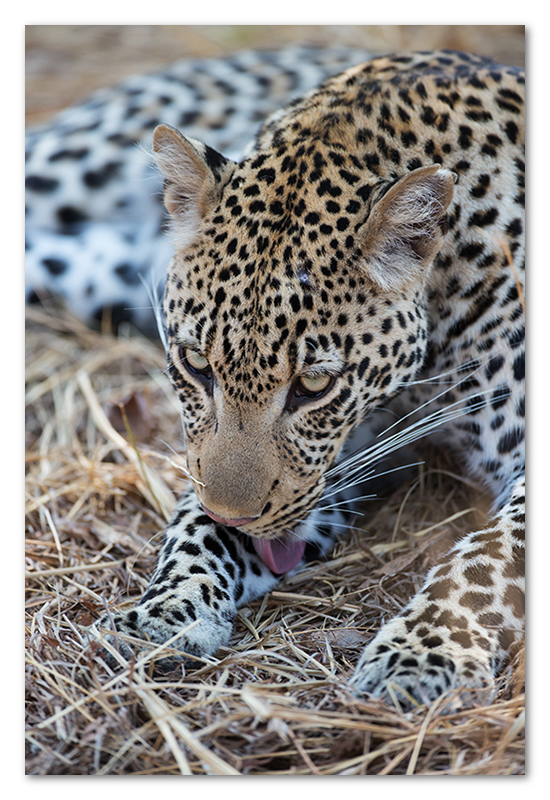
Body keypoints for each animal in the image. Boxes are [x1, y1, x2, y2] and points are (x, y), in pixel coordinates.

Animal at [25, 45, 528, 708]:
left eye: (313, 387)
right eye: (196, 365)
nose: (236, 517)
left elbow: (488, 558)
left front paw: (421, 652)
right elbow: (193, 526)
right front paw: (161, 614)